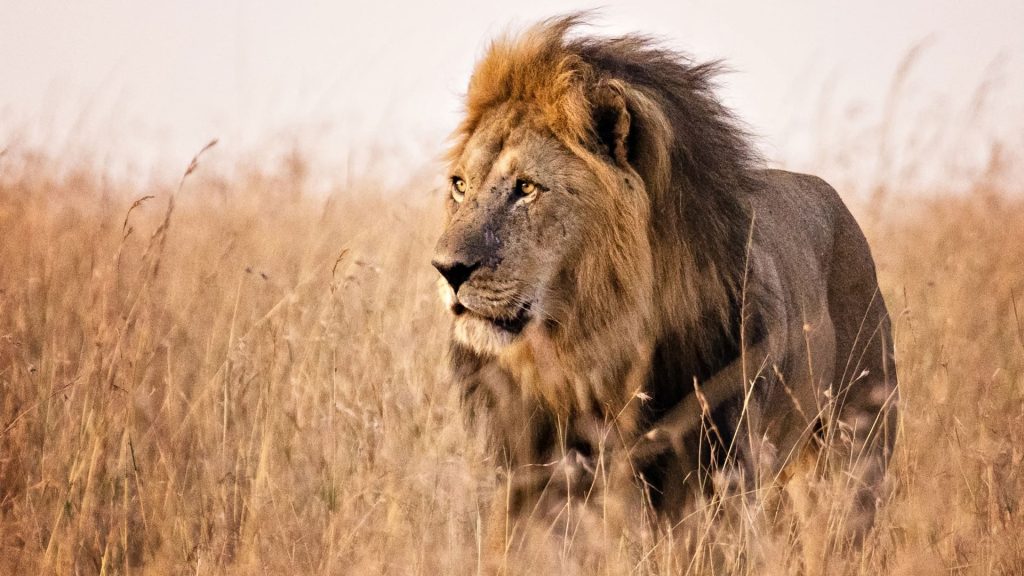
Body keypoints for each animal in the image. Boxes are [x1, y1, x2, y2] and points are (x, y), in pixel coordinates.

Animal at [432, 15, 898, 568]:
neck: (587, 349)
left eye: (526, 187)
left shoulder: (714, 474)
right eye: (460, 185)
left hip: (855, 449)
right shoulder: (532, 475)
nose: (446, 269)